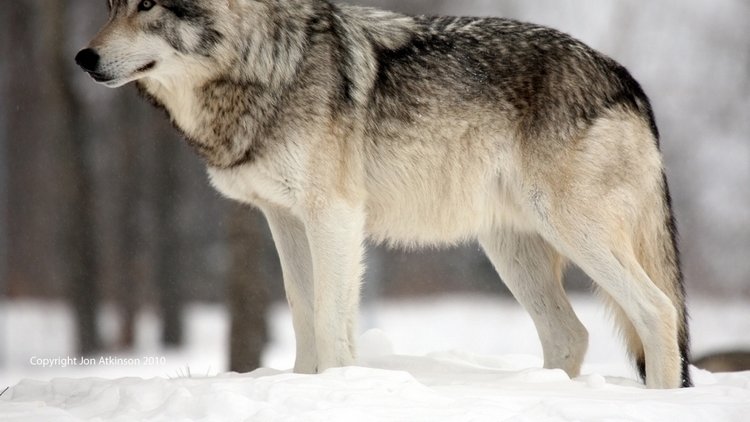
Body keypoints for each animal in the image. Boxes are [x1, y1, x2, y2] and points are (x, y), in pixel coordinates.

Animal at [76, 0, 692, 388]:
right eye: (111, 3)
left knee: (658, 311)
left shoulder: (335, 216)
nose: (83, 57)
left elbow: (329, 316)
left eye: (148, 4)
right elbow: (302, 311)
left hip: (572, 232)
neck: (267, 65)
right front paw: (303, 388)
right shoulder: (284, 219)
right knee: (571, 334)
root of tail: (626, 79)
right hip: (512, 252)